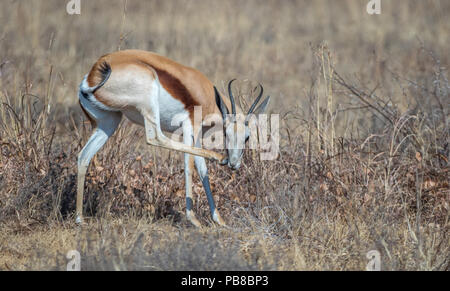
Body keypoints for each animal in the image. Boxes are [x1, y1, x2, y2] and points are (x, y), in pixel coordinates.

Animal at [76, 49, 270, 228]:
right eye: (226, 133)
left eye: (247, 137)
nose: (234, 163)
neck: (208, 94)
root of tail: (95, 72)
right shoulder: (189, 127)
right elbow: (189, 166)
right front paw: (194, 219)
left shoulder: (197, 136)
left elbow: (203, 170)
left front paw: (219, 220)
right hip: (148, 107)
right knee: (156, 137)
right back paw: (219, 158)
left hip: (108, 123)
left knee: (84, 156)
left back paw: (79, 219)